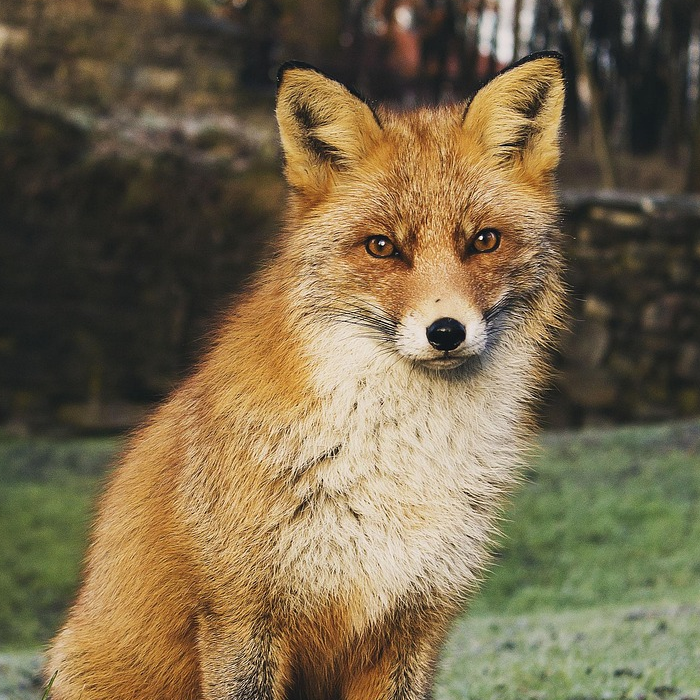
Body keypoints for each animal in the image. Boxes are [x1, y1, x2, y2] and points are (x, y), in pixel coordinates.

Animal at [45, 52, 566, 700]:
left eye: (484, 241)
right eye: (381, 247)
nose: (446, 332)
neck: (397, 463)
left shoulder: (413, 622)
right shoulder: (243, 615)